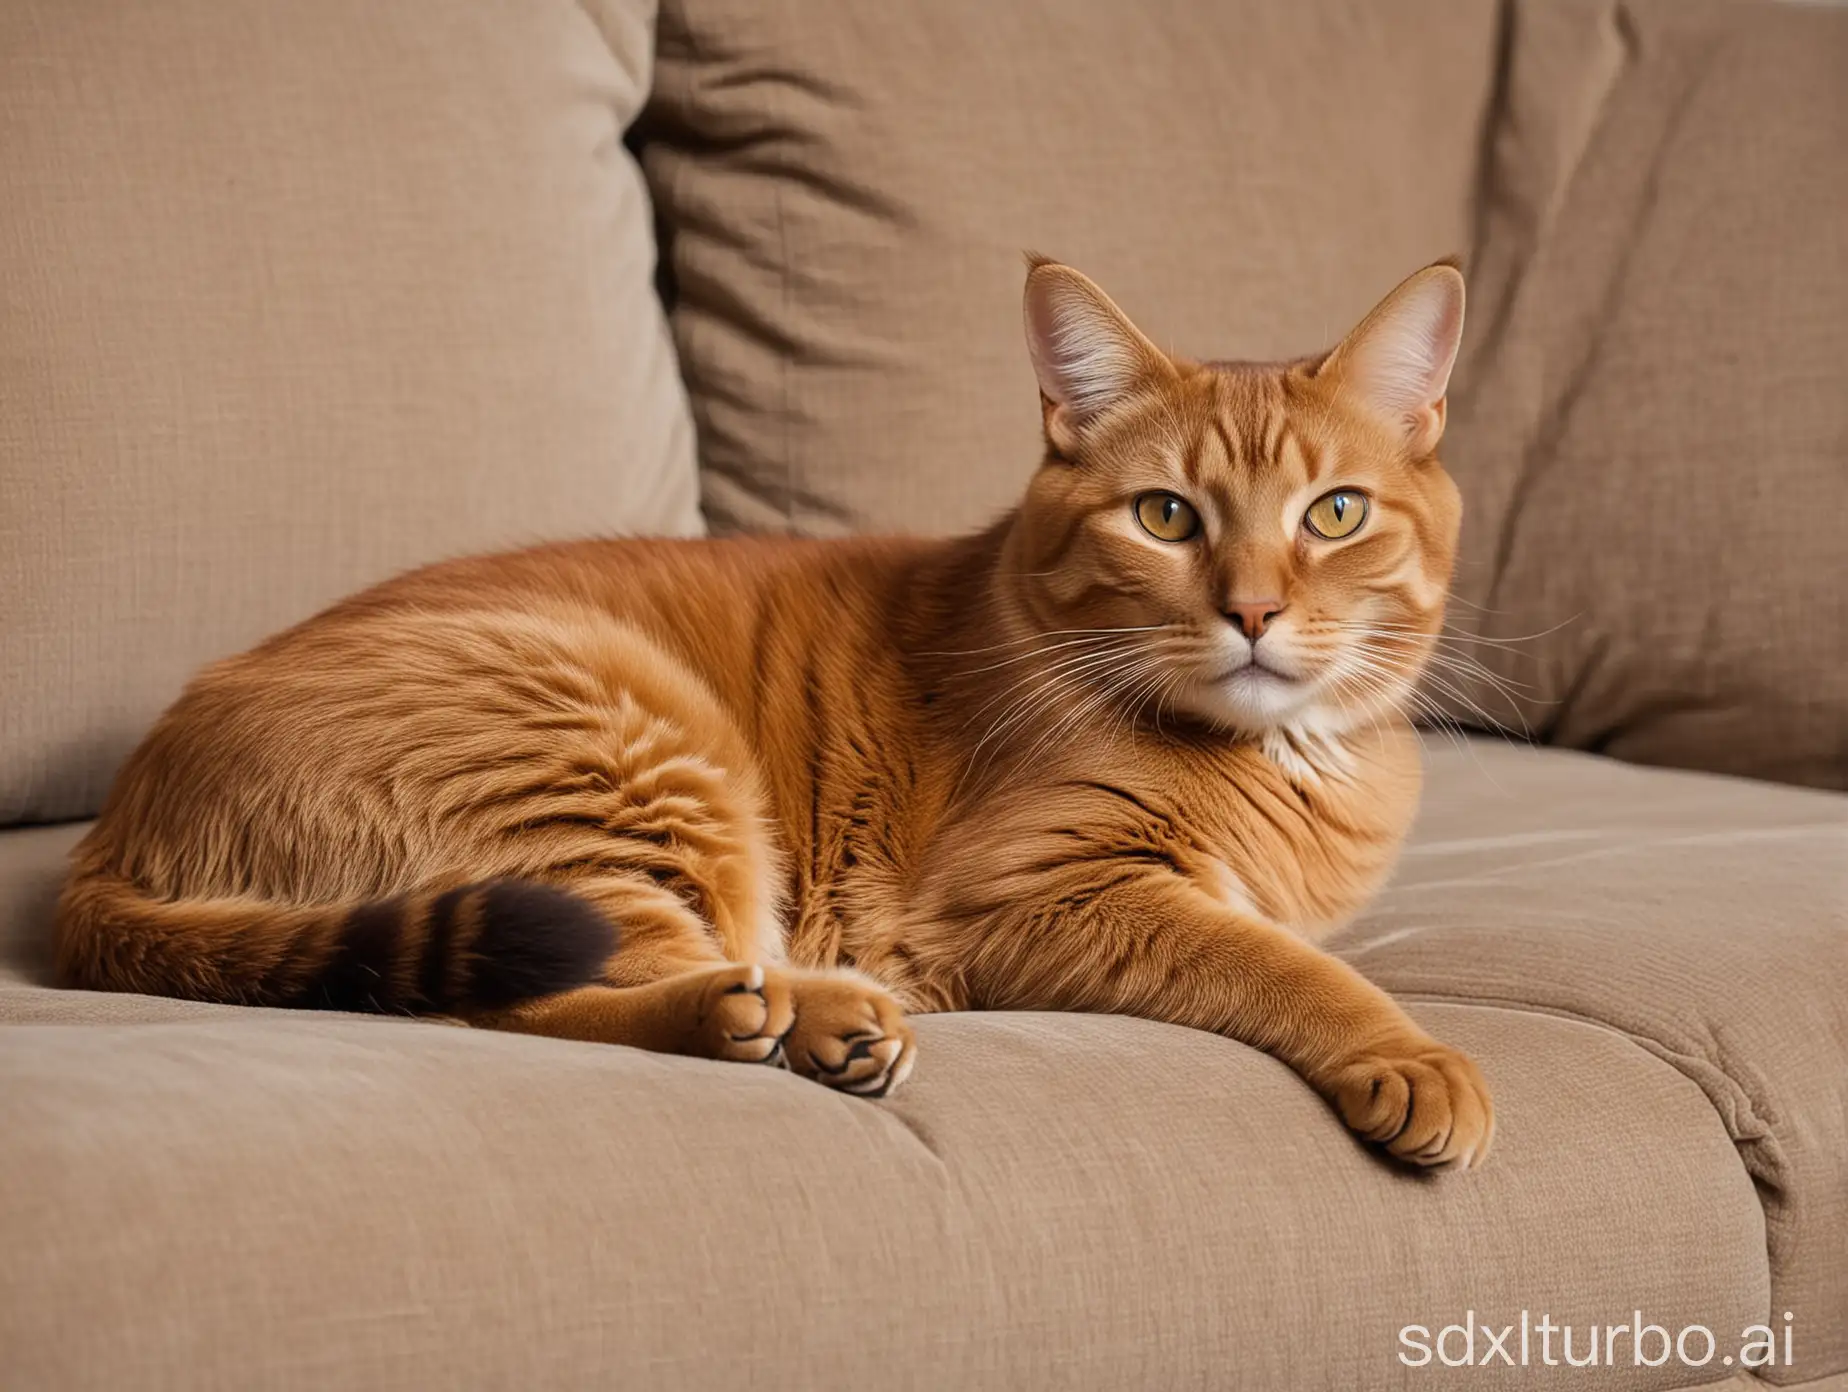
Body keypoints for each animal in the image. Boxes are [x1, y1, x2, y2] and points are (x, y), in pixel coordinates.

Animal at [57, 258, 1493, 1160]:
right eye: (1166, 517)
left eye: (1335, 515)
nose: (1253, 611)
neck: (1279, 760)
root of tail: (109, 831)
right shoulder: (1039, 891)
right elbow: (1277, 961)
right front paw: (1411, 1055)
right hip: (624, 749)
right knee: (534, 996)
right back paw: (796, 1016)